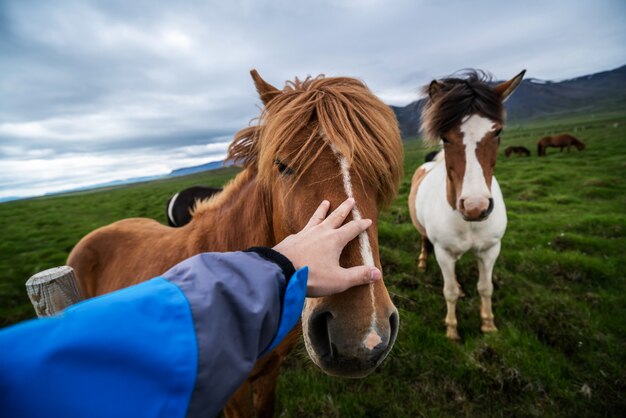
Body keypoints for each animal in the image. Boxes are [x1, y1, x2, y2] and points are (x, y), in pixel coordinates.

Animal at [408, 69, 524, 340]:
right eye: (445, 137)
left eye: (497, 132)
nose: (475, 207)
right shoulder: (443, 252)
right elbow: (448, 291)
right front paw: (452, 330)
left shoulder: (491, 250)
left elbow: (485, 288)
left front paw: (488, 325)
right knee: (423, 240)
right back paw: (422, 261)